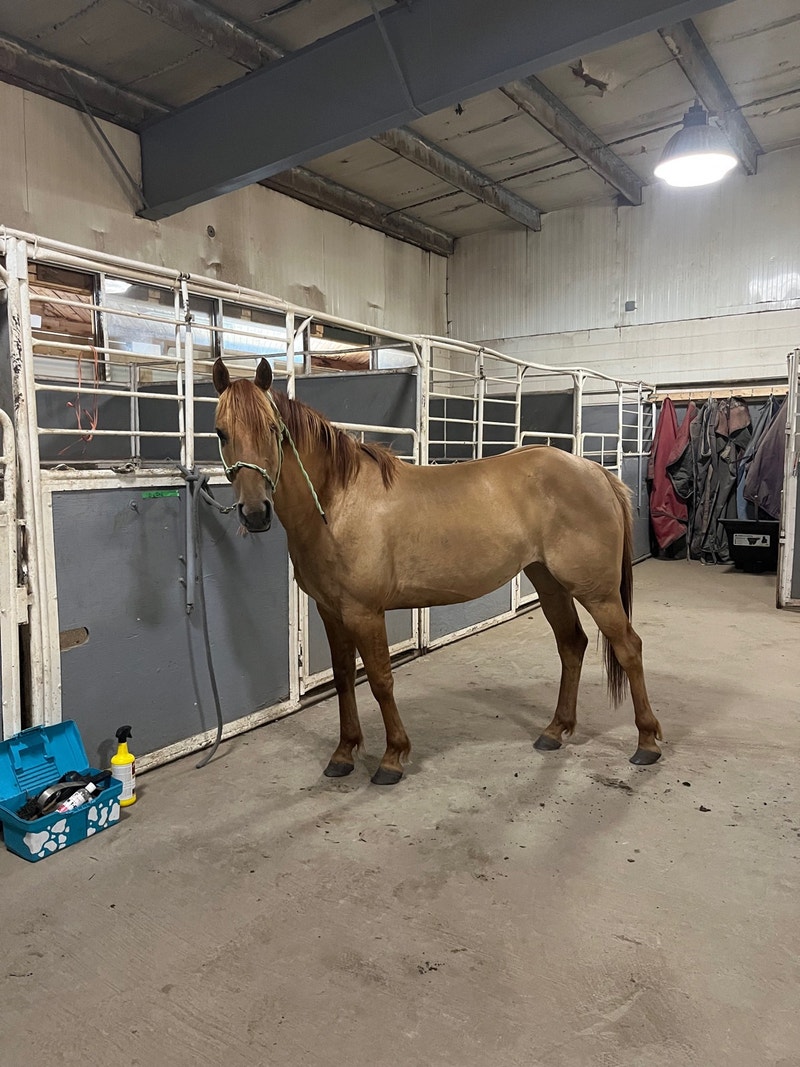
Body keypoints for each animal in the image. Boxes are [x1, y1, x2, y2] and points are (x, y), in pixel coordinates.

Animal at [213, 357, 662, 785]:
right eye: (220, 433)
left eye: (273, 429)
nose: (255, 513)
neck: (337, 502)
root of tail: (594, 471)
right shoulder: (330, 611)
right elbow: (343, 678)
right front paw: (343, 753)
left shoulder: (364, 613)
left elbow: (380, 680)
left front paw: (393, 757)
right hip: (549, 583)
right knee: (572, 645)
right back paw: (555, 731)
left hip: (596, 591)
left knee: (629, 648)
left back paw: (646, 742)